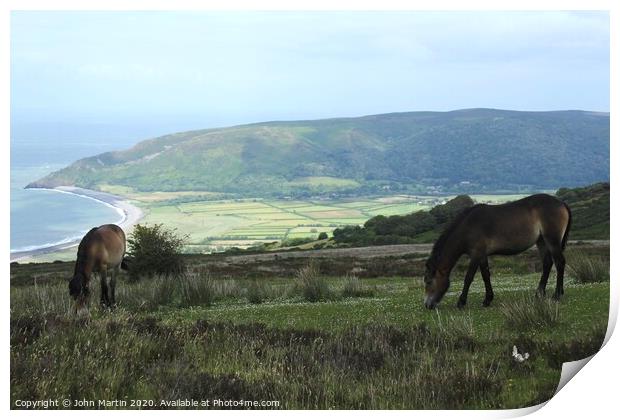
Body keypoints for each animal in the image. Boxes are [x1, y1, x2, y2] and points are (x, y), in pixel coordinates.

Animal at [422, 195, 572, 310]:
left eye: (428, 281)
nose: (428, 305)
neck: (468, 227)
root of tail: (561, 203)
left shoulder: (476, 255)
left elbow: (469, 278)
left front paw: (461, 302)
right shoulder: (482, 255)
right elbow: (485, 276)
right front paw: (487, 299)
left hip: (552, 241)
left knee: (559, 262)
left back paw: (557, 294)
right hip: (541, 241)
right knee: (547, 264)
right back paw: (539, 294)